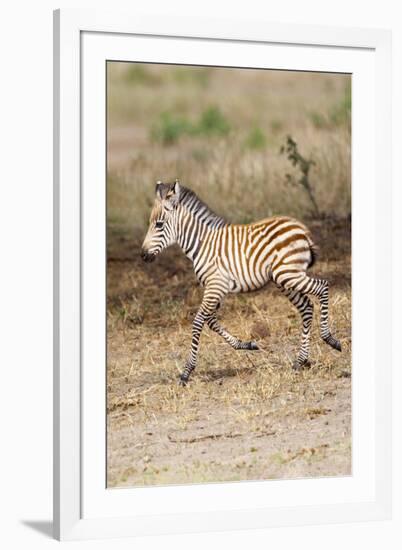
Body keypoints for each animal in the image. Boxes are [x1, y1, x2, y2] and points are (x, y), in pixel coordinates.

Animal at [140, 179, 340, 386]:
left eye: (159, 225)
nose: (143, 256)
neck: (202, 244)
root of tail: (301, 229)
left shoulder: (215, 286)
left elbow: (198, 322)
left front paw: (187, 372)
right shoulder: (215, 289)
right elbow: (211, 321)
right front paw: (246, 345)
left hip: (288, 274)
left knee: (323, 287)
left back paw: (330, 339)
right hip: (284, 278)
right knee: (306, 307)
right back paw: (301, 361)